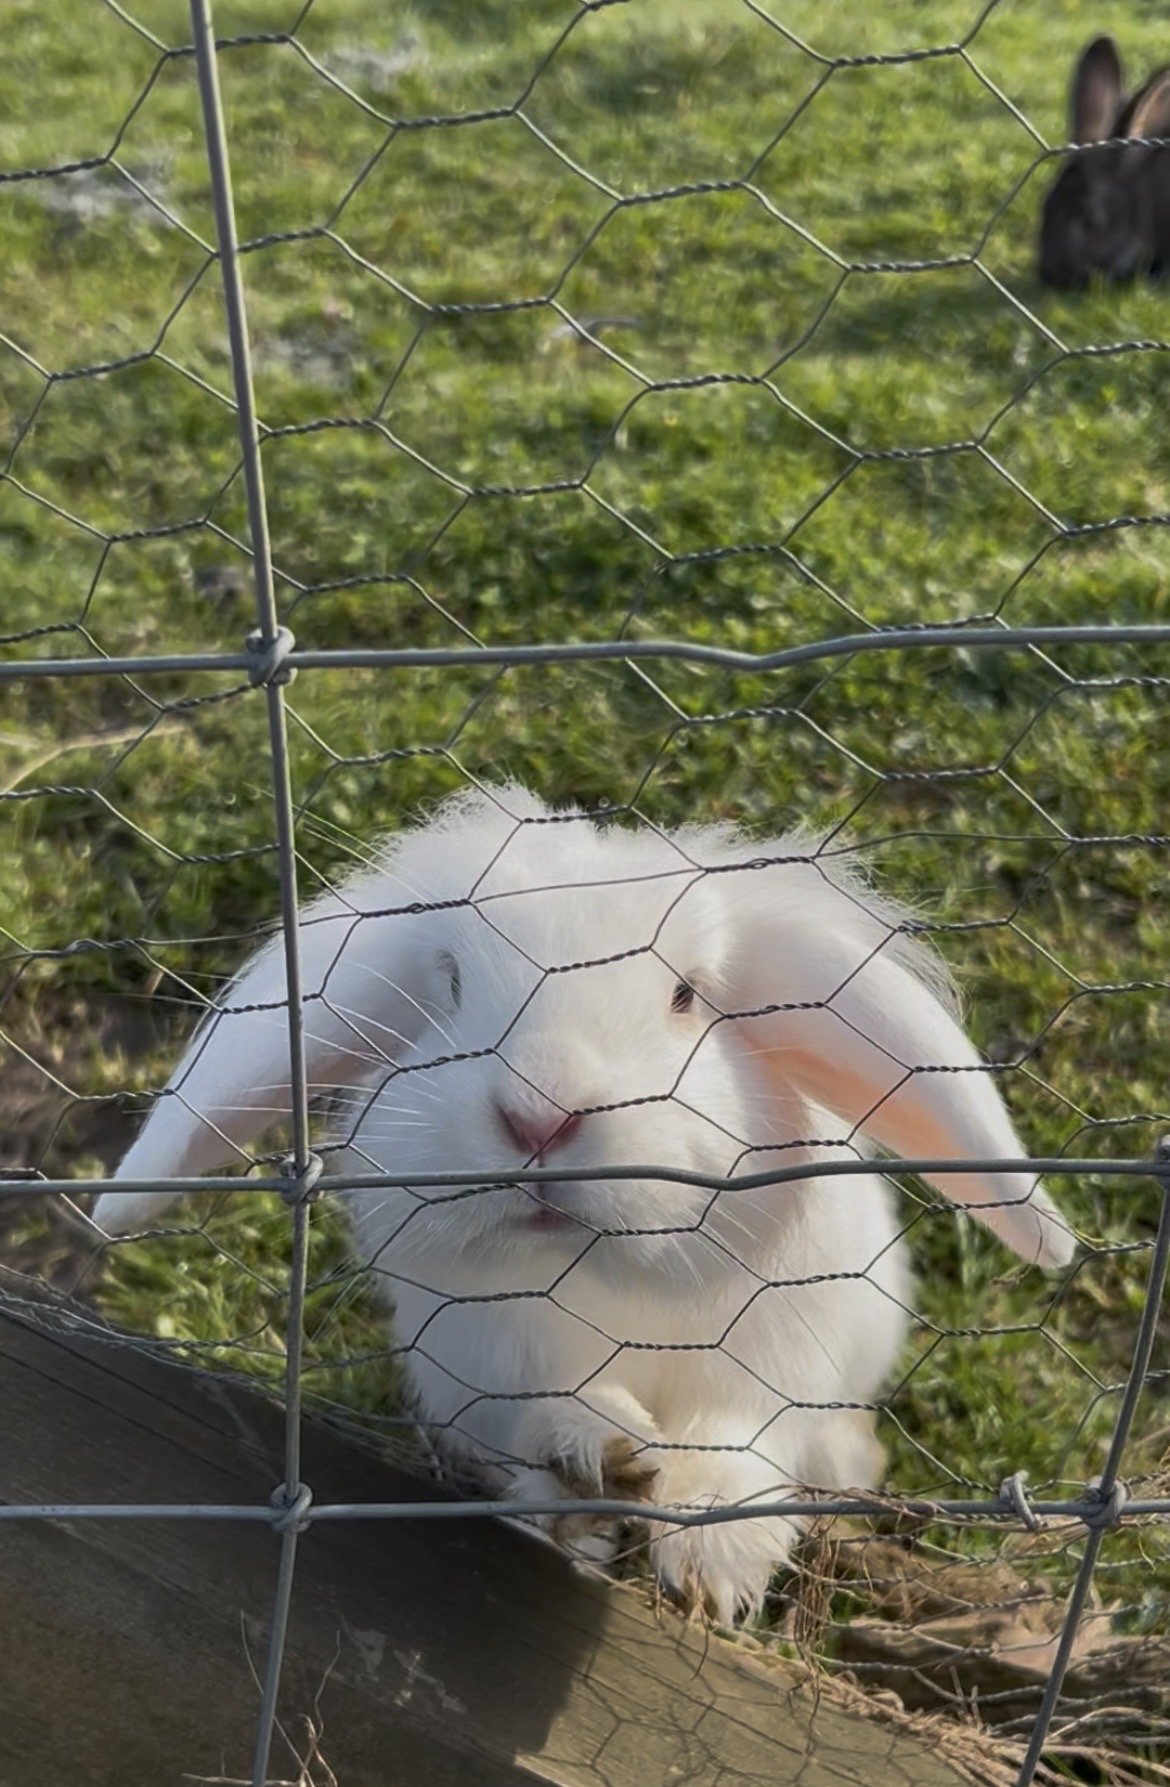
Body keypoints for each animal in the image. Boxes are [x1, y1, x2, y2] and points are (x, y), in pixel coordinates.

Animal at [93, 784, 1074, 1624]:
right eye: (451, 984)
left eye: (685, 994)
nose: (540, 1113)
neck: (602, 1278)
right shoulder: (484, 1363)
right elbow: (553, 1419)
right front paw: (596, 1466)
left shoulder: (775, 1365)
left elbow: (738, 1447)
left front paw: (712, 1565)